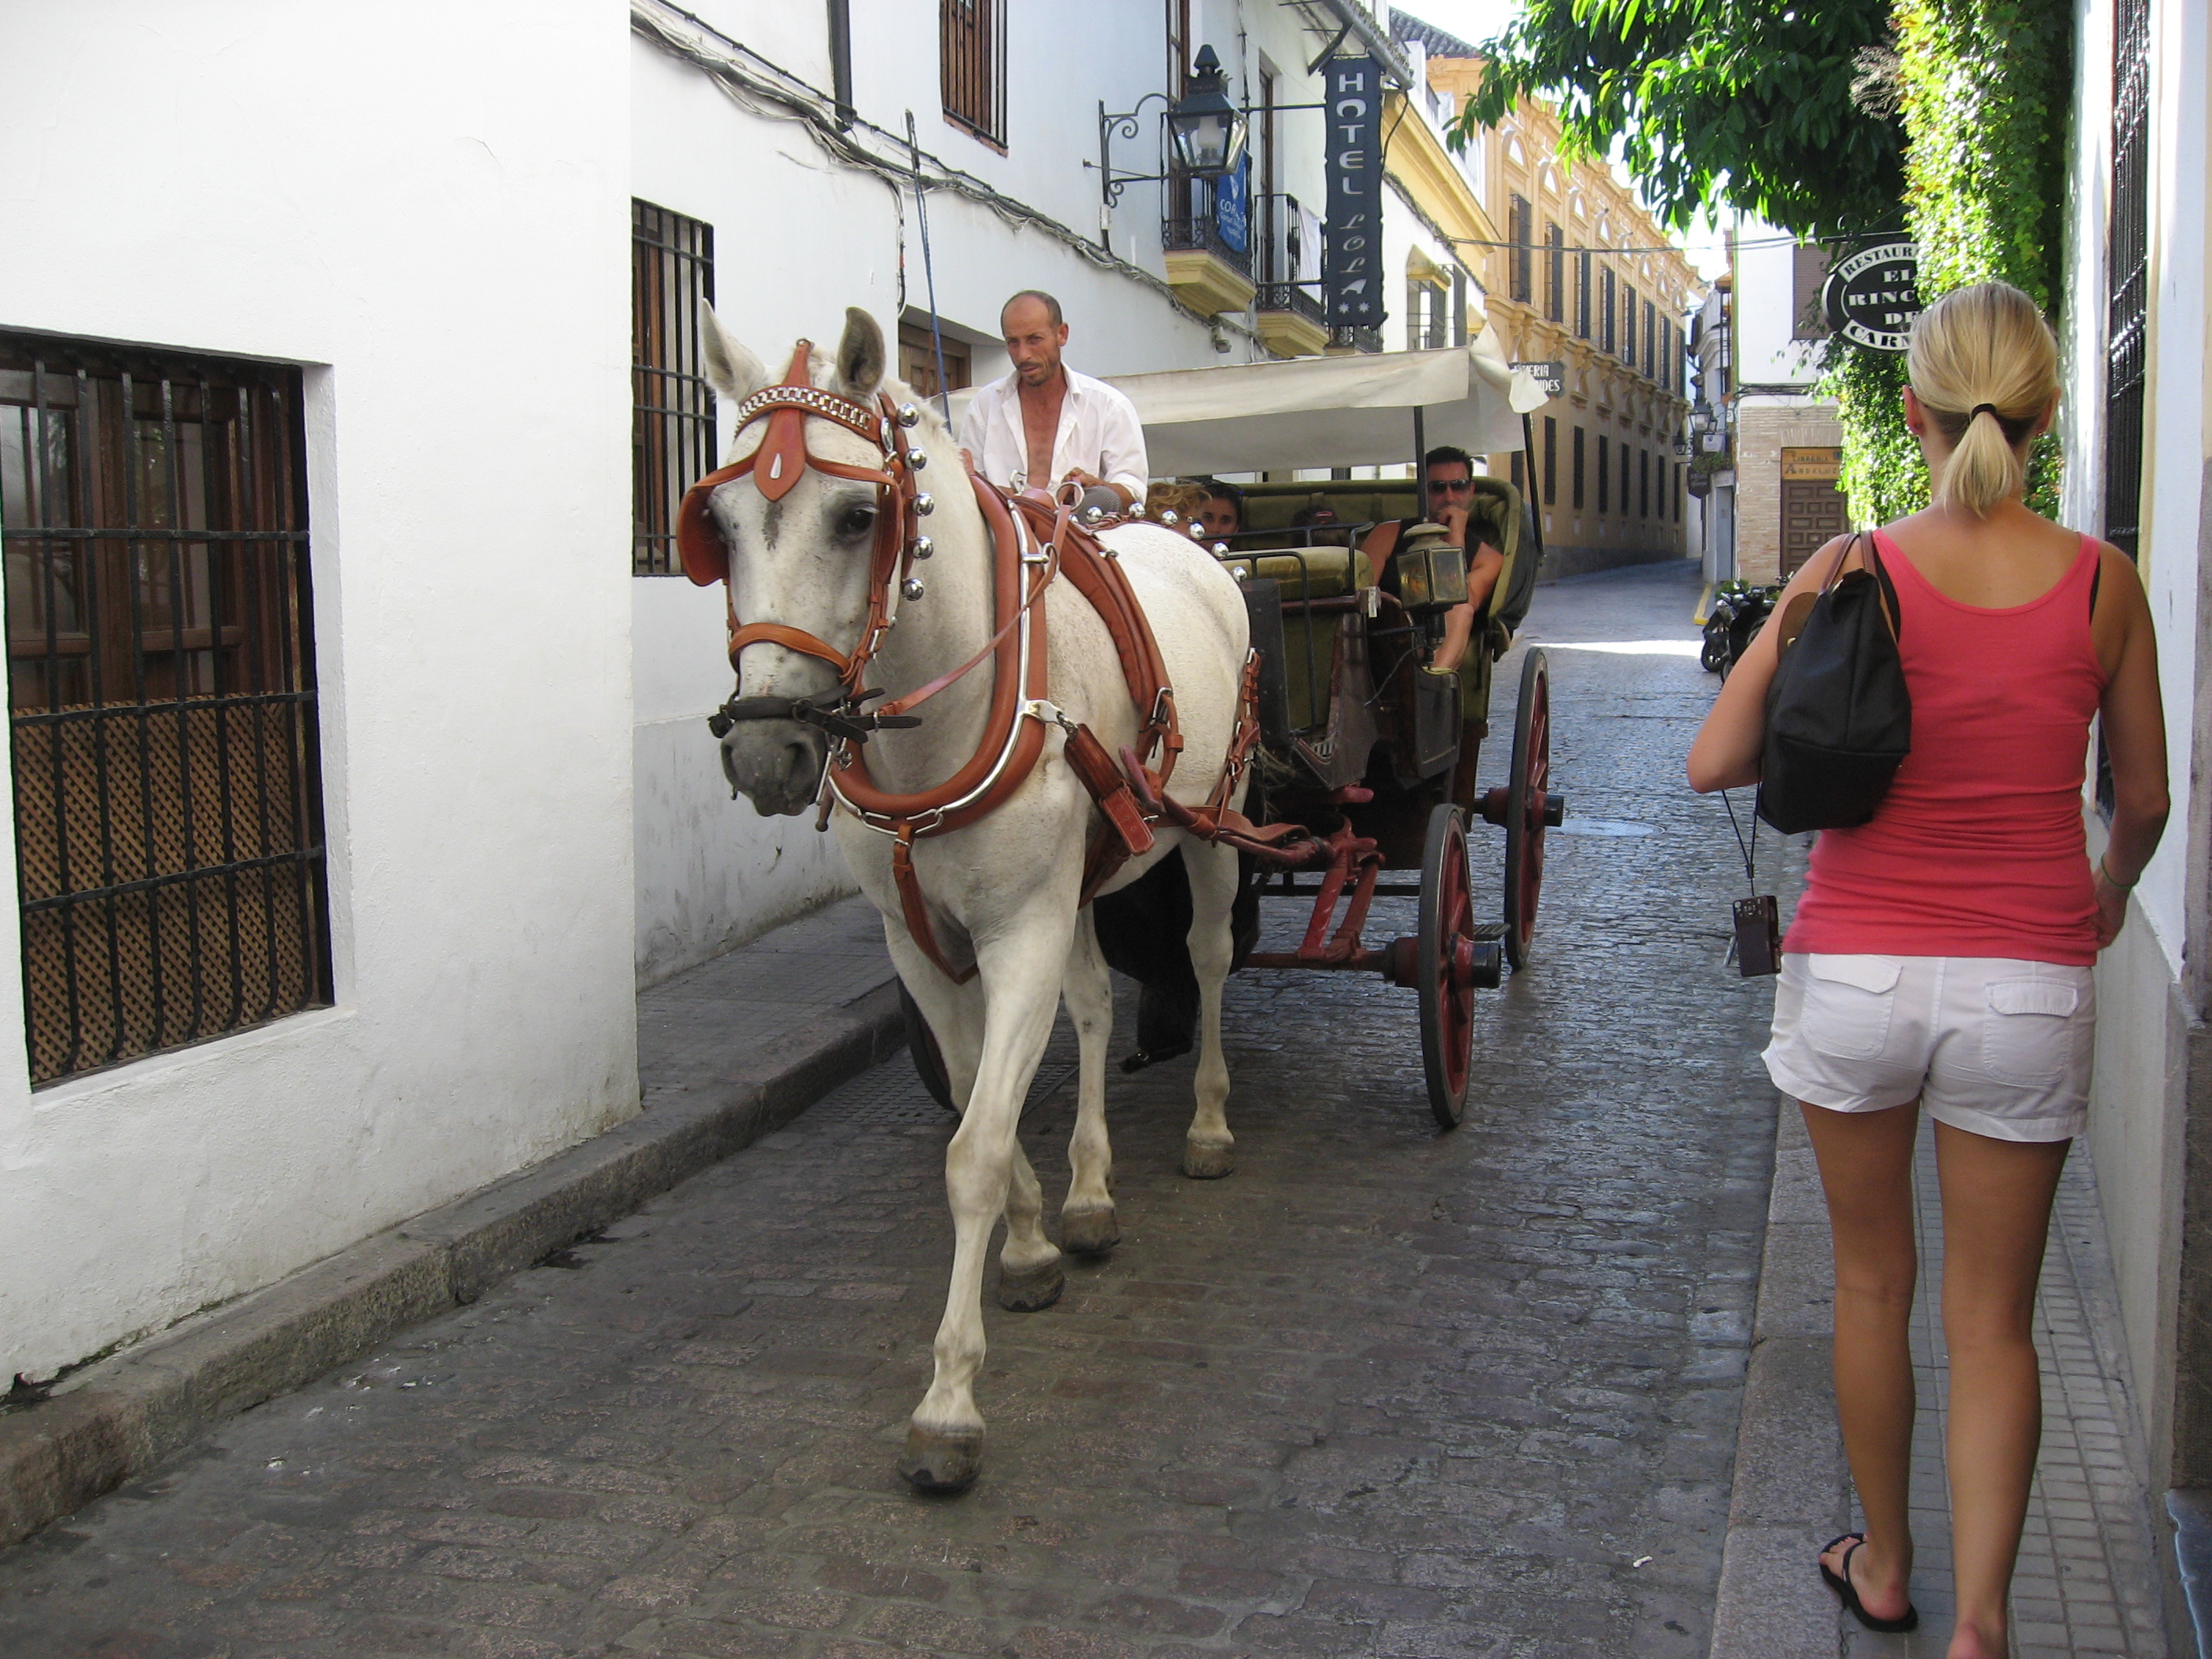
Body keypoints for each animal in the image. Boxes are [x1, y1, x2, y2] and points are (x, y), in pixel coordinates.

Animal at [691, 306, 1251, 1492]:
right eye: (715, 521)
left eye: (859, 515)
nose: (766, 751)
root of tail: (1188, 539)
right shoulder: (924, 939)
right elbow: (968, 1093)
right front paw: (1037, 1240)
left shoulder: (1019, 929)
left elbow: (976, 1150)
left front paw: (948, 1402)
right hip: (1084, 875)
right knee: (1094, 1005)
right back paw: (1091, 1192)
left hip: (1219, 820)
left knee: (1211, 955)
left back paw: (1209, 1122)